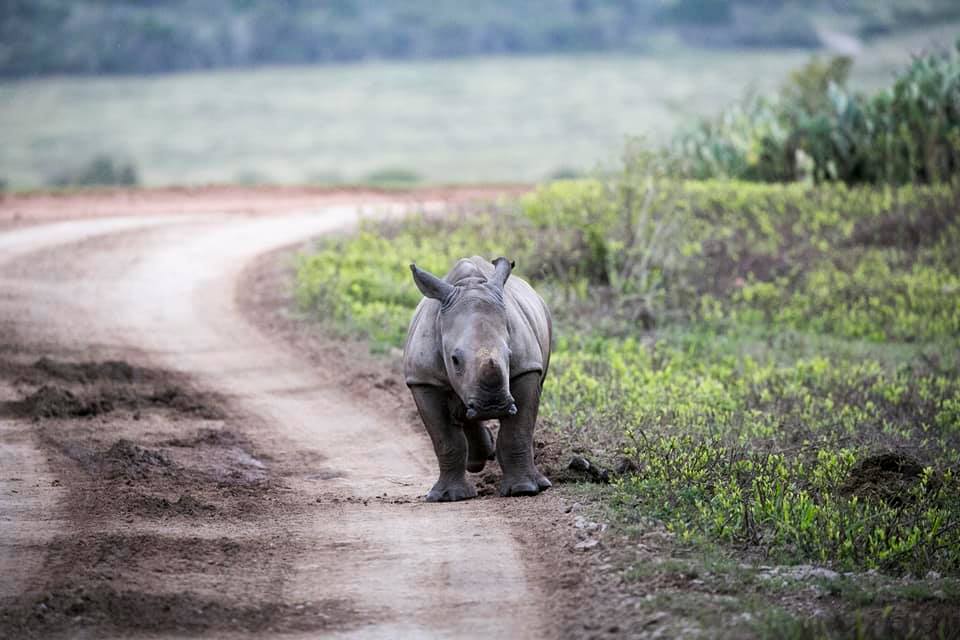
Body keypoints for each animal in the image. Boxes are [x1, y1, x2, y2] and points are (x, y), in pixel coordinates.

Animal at [404, 255, 556, 500]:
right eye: (455, 360)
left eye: (510, 354)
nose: (492, 406)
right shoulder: (423, 379)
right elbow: (445, 439)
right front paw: (449, 496)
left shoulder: (526, 368)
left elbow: (518, 431)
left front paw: (523, 489)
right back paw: (477, 461)